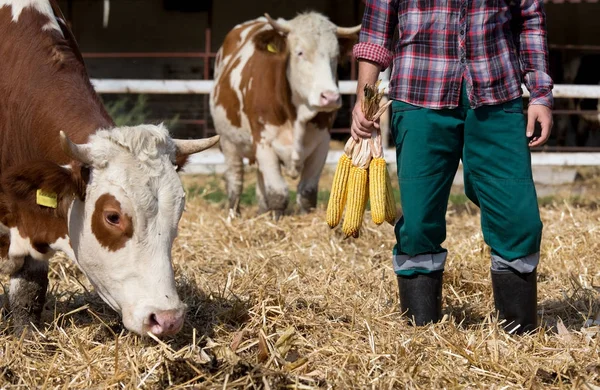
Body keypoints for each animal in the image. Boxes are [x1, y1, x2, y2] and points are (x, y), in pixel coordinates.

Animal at [209, 12, 358, 219]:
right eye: (300, 52)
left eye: (335, 56)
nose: (330, 97)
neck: (297, 116)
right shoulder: (264, 142)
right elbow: (278, 194)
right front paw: (275, 219)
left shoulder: (322, 143)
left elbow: (307, 193)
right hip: (228, 141)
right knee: (235, 180)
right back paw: (233, 215)